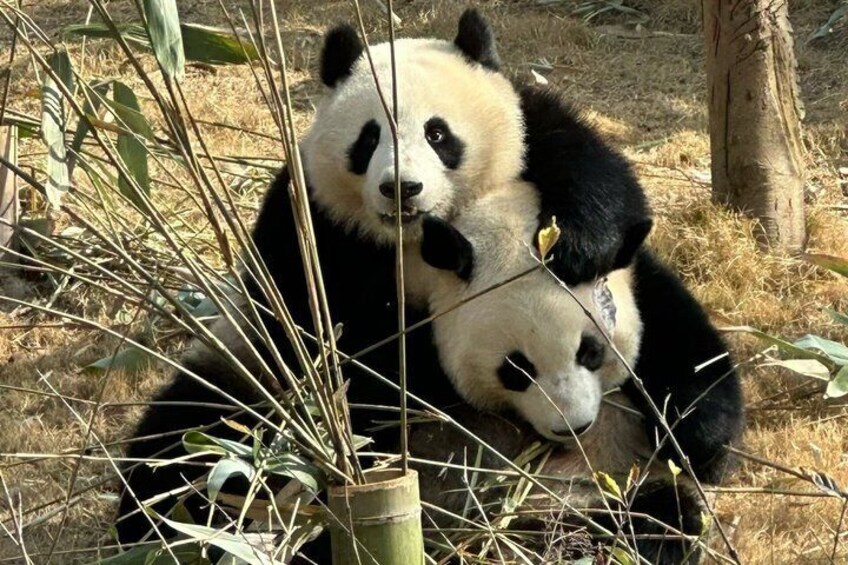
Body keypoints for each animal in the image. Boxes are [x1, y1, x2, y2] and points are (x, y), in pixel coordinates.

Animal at [413, 182, 744, 563]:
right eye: (517, 370)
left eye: (591, 352)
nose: (574, 427)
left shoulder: (642, 283)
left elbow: (691, 360)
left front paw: (694, 442)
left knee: (666, 515)